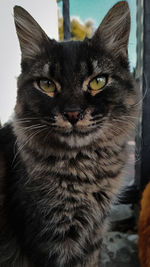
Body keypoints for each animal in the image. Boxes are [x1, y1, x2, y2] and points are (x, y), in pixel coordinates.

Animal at [0, 2, 138, 267]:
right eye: (46, 84)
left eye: (98, 82)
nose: (73, 113)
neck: (85, 168)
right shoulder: (51, 238)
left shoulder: (93, 235)